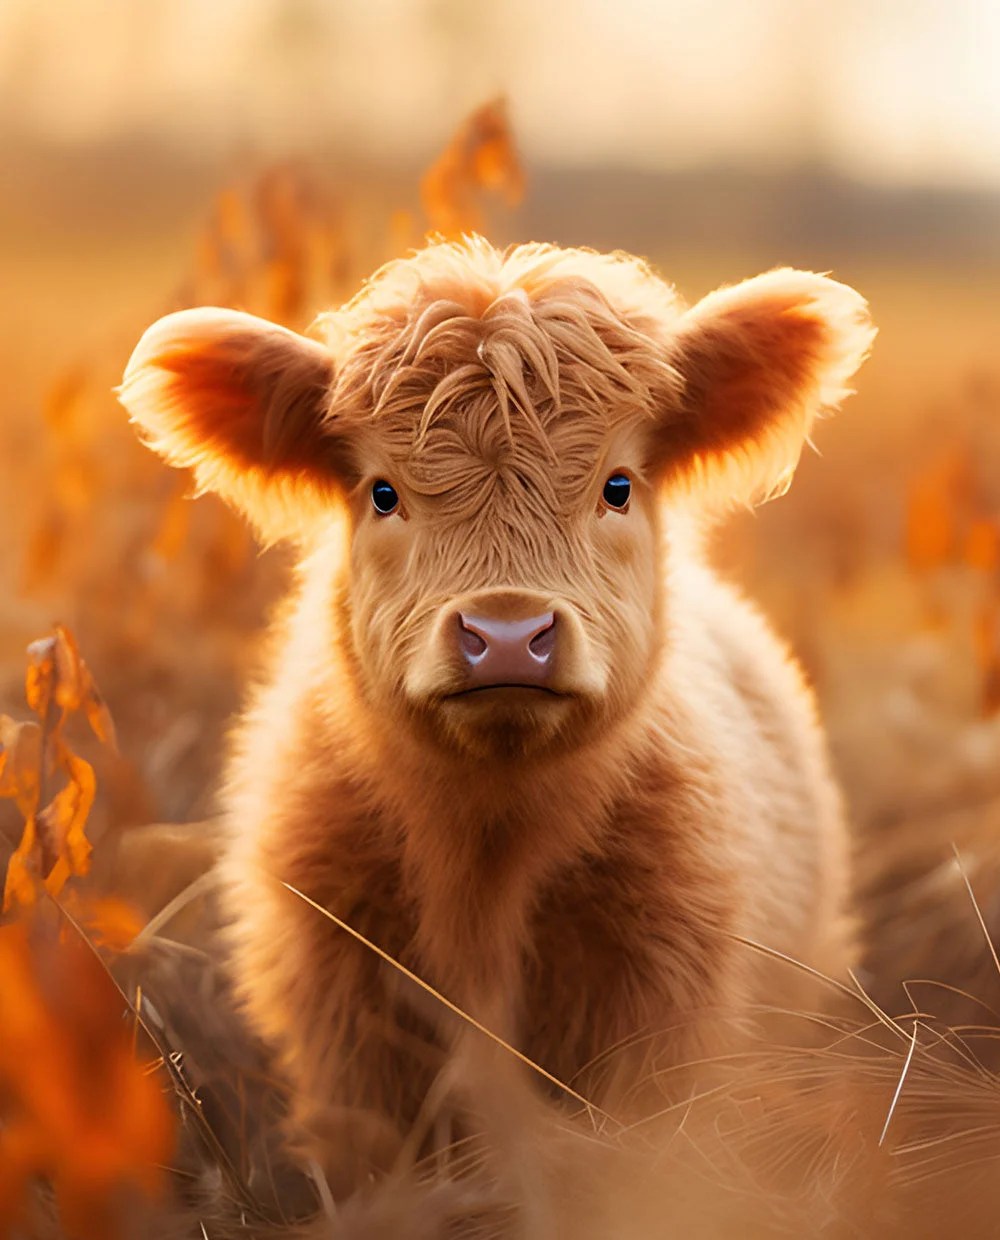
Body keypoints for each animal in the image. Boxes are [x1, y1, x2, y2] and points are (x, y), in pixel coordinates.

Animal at [119, 237, 875, 1196]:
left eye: (618, 486)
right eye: (382, 493)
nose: (508, 634)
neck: (485, 843)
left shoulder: (663, 1012)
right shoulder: (347, 1026)